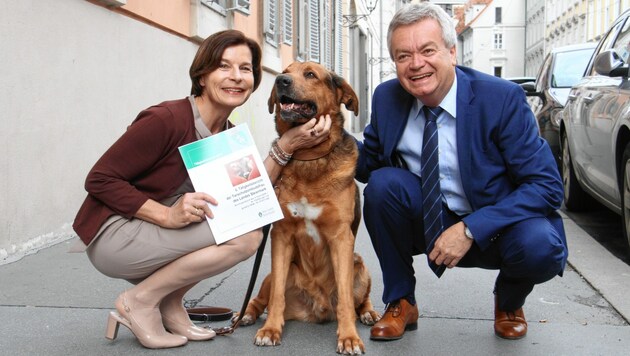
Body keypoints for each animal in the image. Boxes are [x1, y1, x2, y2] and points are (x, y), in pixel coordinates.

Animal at [239, 62, 380, 354]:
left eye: (311, 74)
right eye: (285, 70)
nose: (280, 80)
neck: (308, 158)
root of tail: (317, 309)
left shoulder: (341, 238)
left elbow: (346, 300)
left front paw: (349, 337)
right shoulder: (281, 236)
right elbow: (277, 296)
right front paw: (270, 329)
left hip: (359, 265)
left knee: (360, 299)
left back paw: (368, 313)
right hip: (274, 273)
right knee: (262, 298)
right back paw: (246, 313)